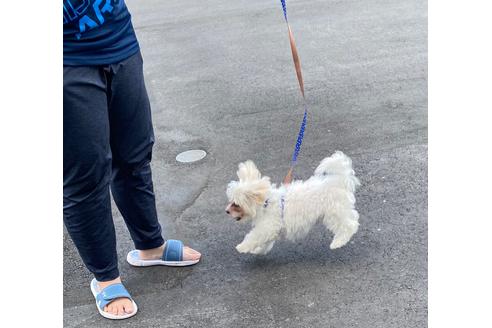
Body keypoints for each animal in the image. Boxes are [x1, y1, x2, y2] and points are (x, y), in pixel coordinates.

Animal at [225, 152, 360, 256]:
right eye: (231, 201)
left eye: (236, 204)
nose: (226, 211)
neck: (266, 203)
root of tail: (337, 180)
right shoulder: (270, 229)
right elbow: (265, 242)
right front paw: (258, 250)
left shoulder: (267, 227)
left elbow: (253, 236)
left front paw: (242, 247)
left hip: (334, 213)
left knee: (350, 225)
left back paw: (337, 243)